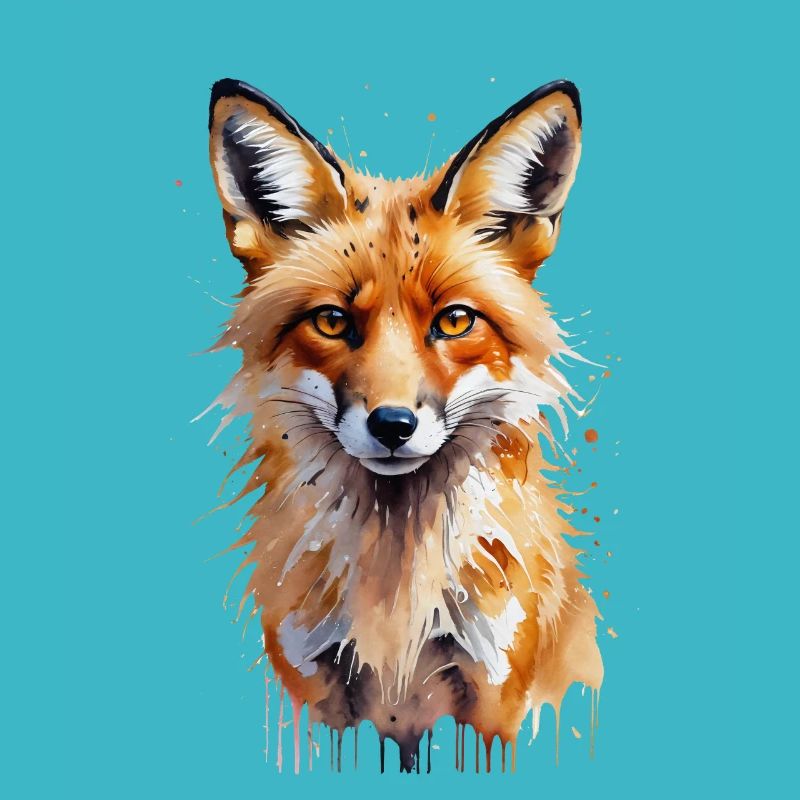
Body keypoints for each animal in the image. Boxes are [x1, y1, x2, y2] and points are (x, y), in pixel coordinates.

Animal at [203, 77, 603, 772]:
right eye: (332, 321)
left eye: (455, 321)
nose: (392, 424)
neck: (395, 594)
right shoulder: (315, 690)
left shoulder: (493, 691)